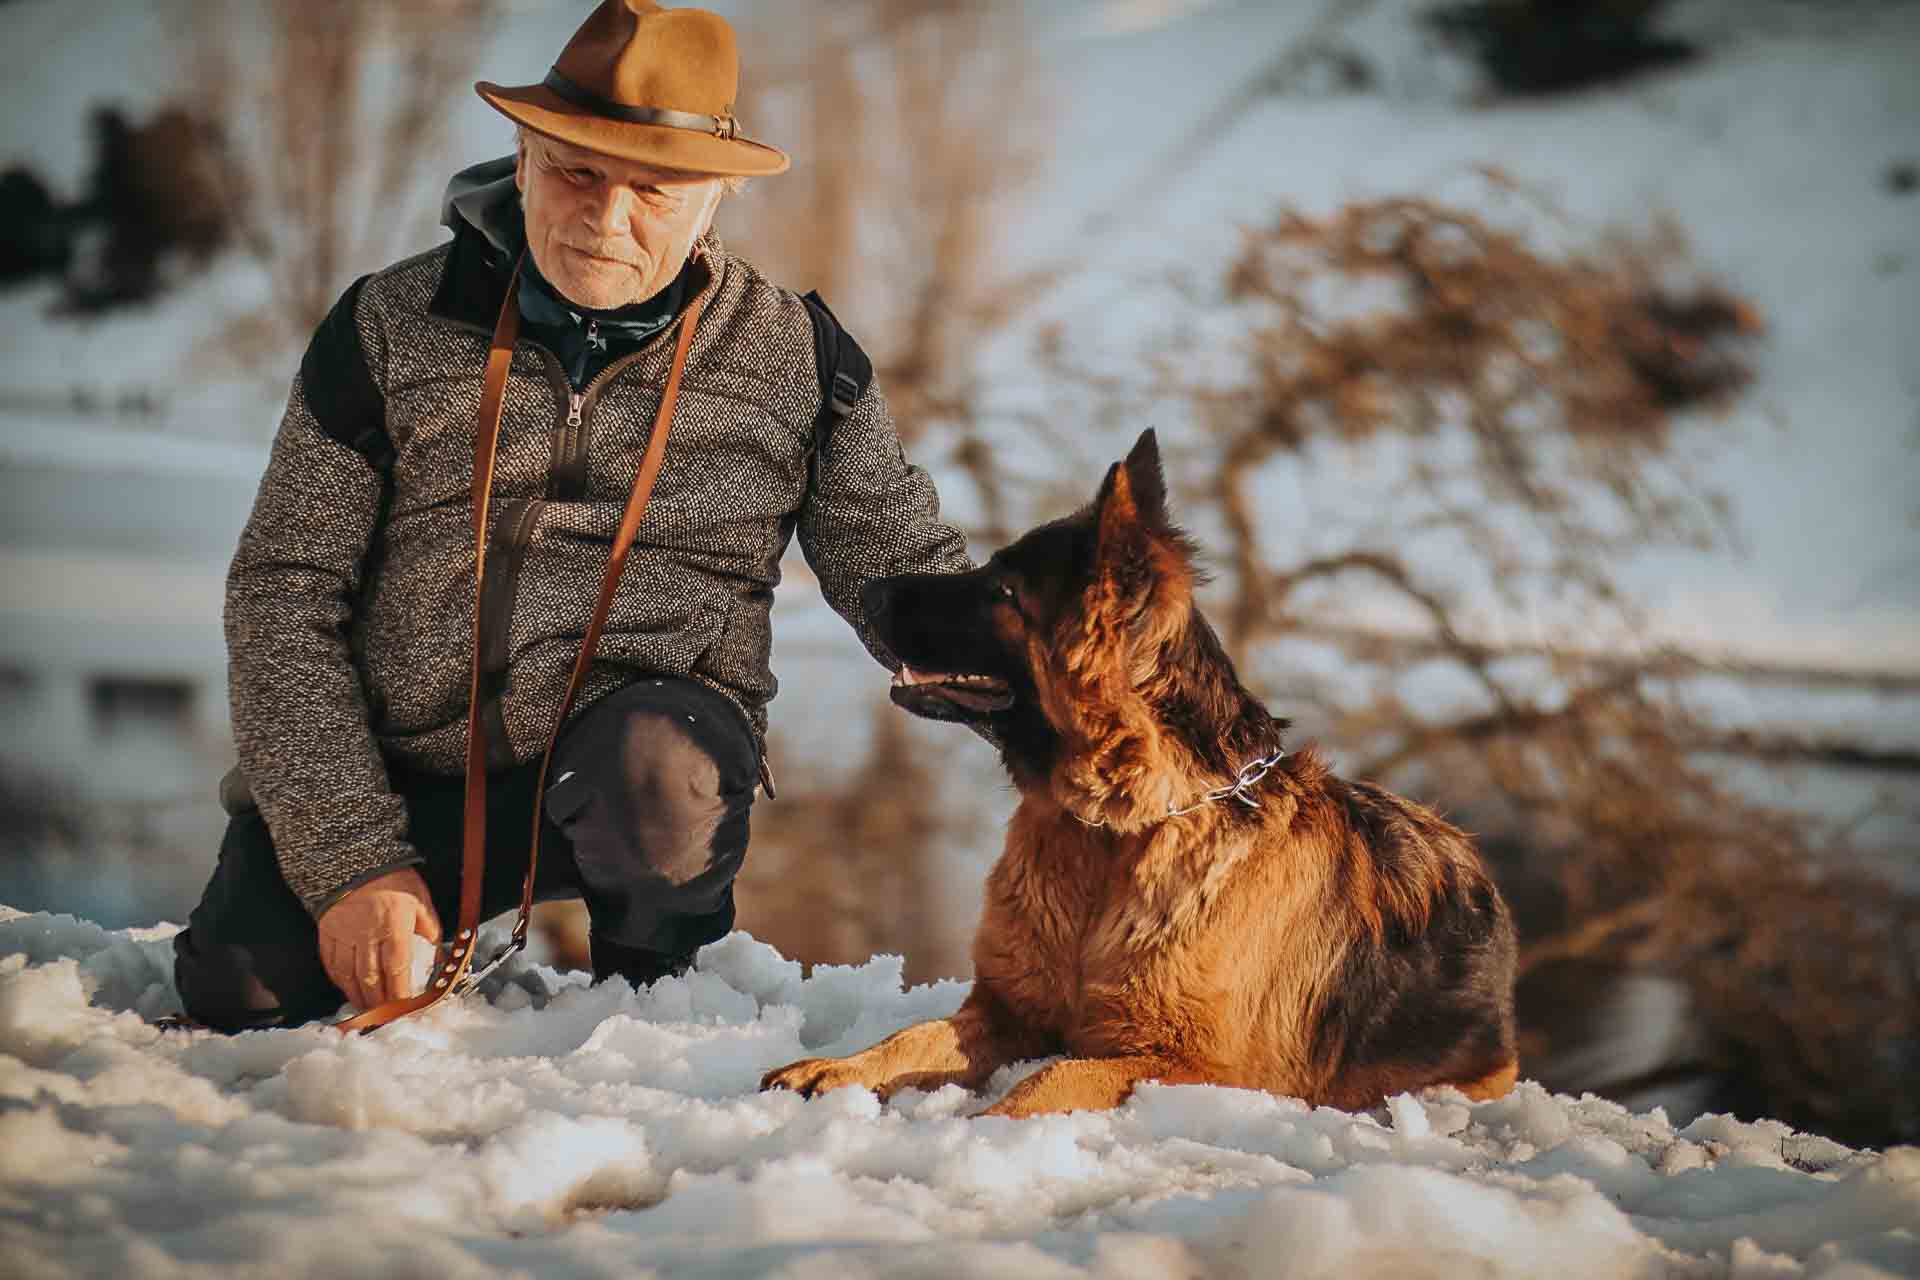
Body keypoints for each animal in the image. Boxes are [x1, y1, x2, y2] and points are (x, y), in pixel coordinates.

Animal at [756, 429, 1520, 1120]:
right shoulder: (1009, 1013)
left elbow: (1054, 1078)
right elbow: (912, 1036)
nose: (869, 587)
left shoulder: (1196, 1066)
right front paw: (839, 1067)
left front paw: (985, 1127)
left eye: (1001, 588)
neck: (1119, 829)